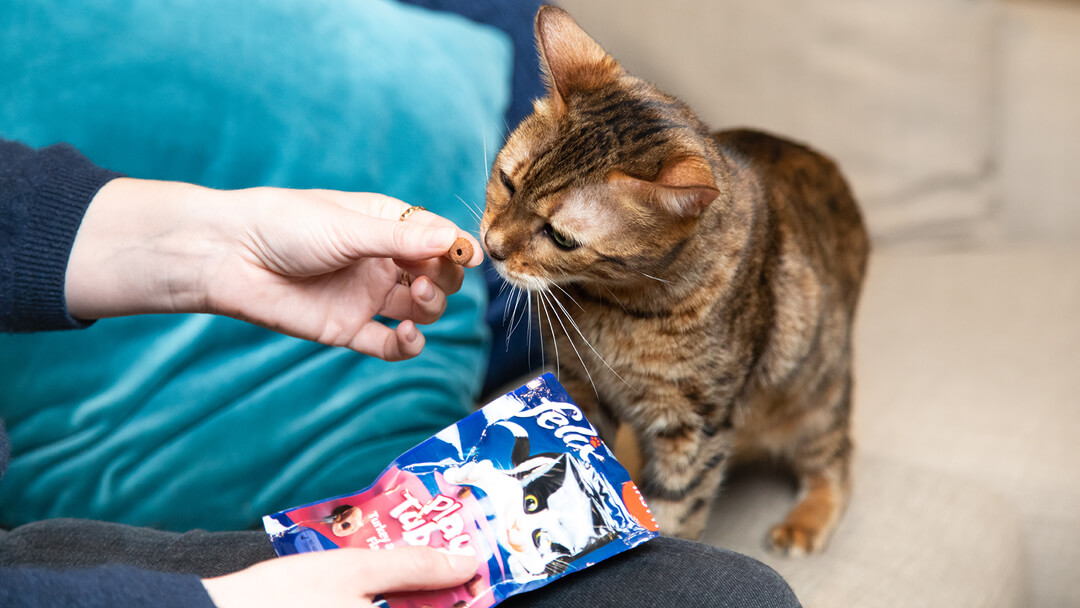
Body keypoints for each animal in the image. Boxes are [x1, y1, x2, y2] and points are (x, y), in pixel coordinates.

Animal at [481, 5, 868, 557]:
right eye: (508, 182)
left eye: (560, 236)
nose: (491, 246)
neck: (610, 308)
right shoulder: (575, 385)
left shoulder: (693, 425)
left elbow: (678, 506)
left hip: (818, 396)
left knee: (834, 462)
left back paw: (804, 521)